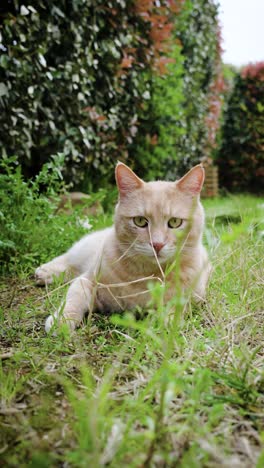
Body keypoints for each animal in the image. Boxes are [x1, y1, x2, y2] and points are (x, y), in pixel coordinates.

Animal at [36, 163, 211, 330]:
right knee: (68, 260)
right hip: (84, 251)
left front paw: (165, 321)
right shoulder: (87, 281)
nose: (157, 244)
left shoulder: (195, 295)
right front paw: (61, 320)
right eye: (140, 221)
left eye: (175, 222)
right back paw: (45, 272)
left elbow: (178, 304)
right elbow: (73, 299)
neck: (146, 275)